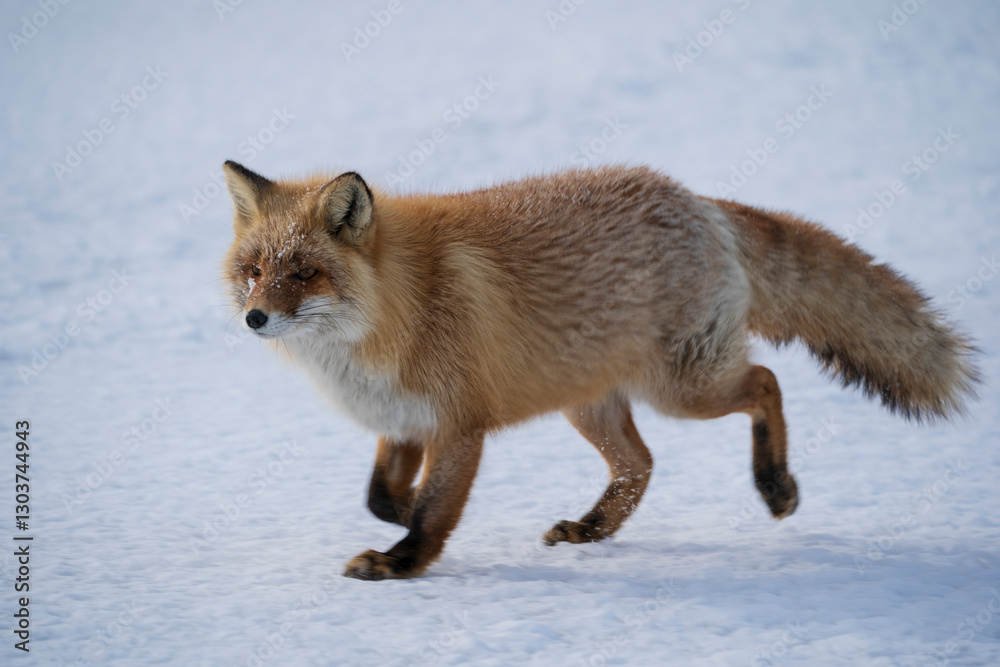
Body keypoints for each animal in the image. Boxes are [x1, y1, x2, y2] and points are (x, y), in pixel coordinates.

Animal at [222, 160, 978, 580]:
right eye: (254, 270)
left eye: (304, 273)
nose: (255, 318)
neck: (395, 308)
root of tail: (693, 198)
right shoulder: (405, 421)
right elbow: (382, 496)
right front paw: (407, 524)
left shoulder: (459, 424)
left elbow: (433, 507)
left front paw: (402, 561)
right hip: (589, 403)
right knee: (641, 465)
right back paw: (592, 529)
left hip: (684, 385)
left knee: (766, 383)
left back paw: (776, 485)